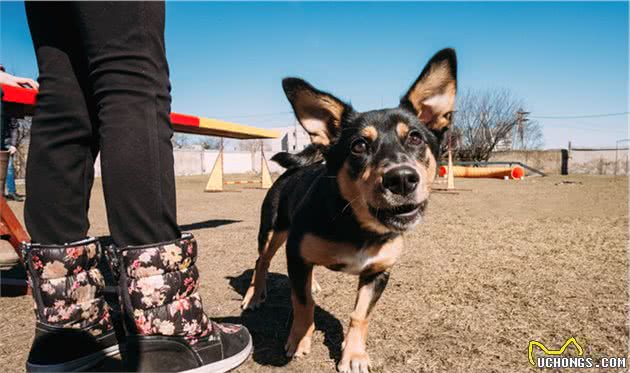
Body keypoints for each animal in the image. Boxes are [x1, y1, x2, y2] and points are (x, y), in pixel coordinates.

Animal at [243, 49, 460, 372]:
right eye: (359, 146)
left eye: (415, 138)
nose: (401, 179)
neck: (358, 225)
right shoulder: (295, 251)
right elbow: (302, 302)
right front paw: (299, 340)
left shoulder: (378, 273)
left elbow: (359, 315)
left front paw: (354, 355)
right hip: (272, 231)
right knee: (262, 262)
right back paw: (254, 296)